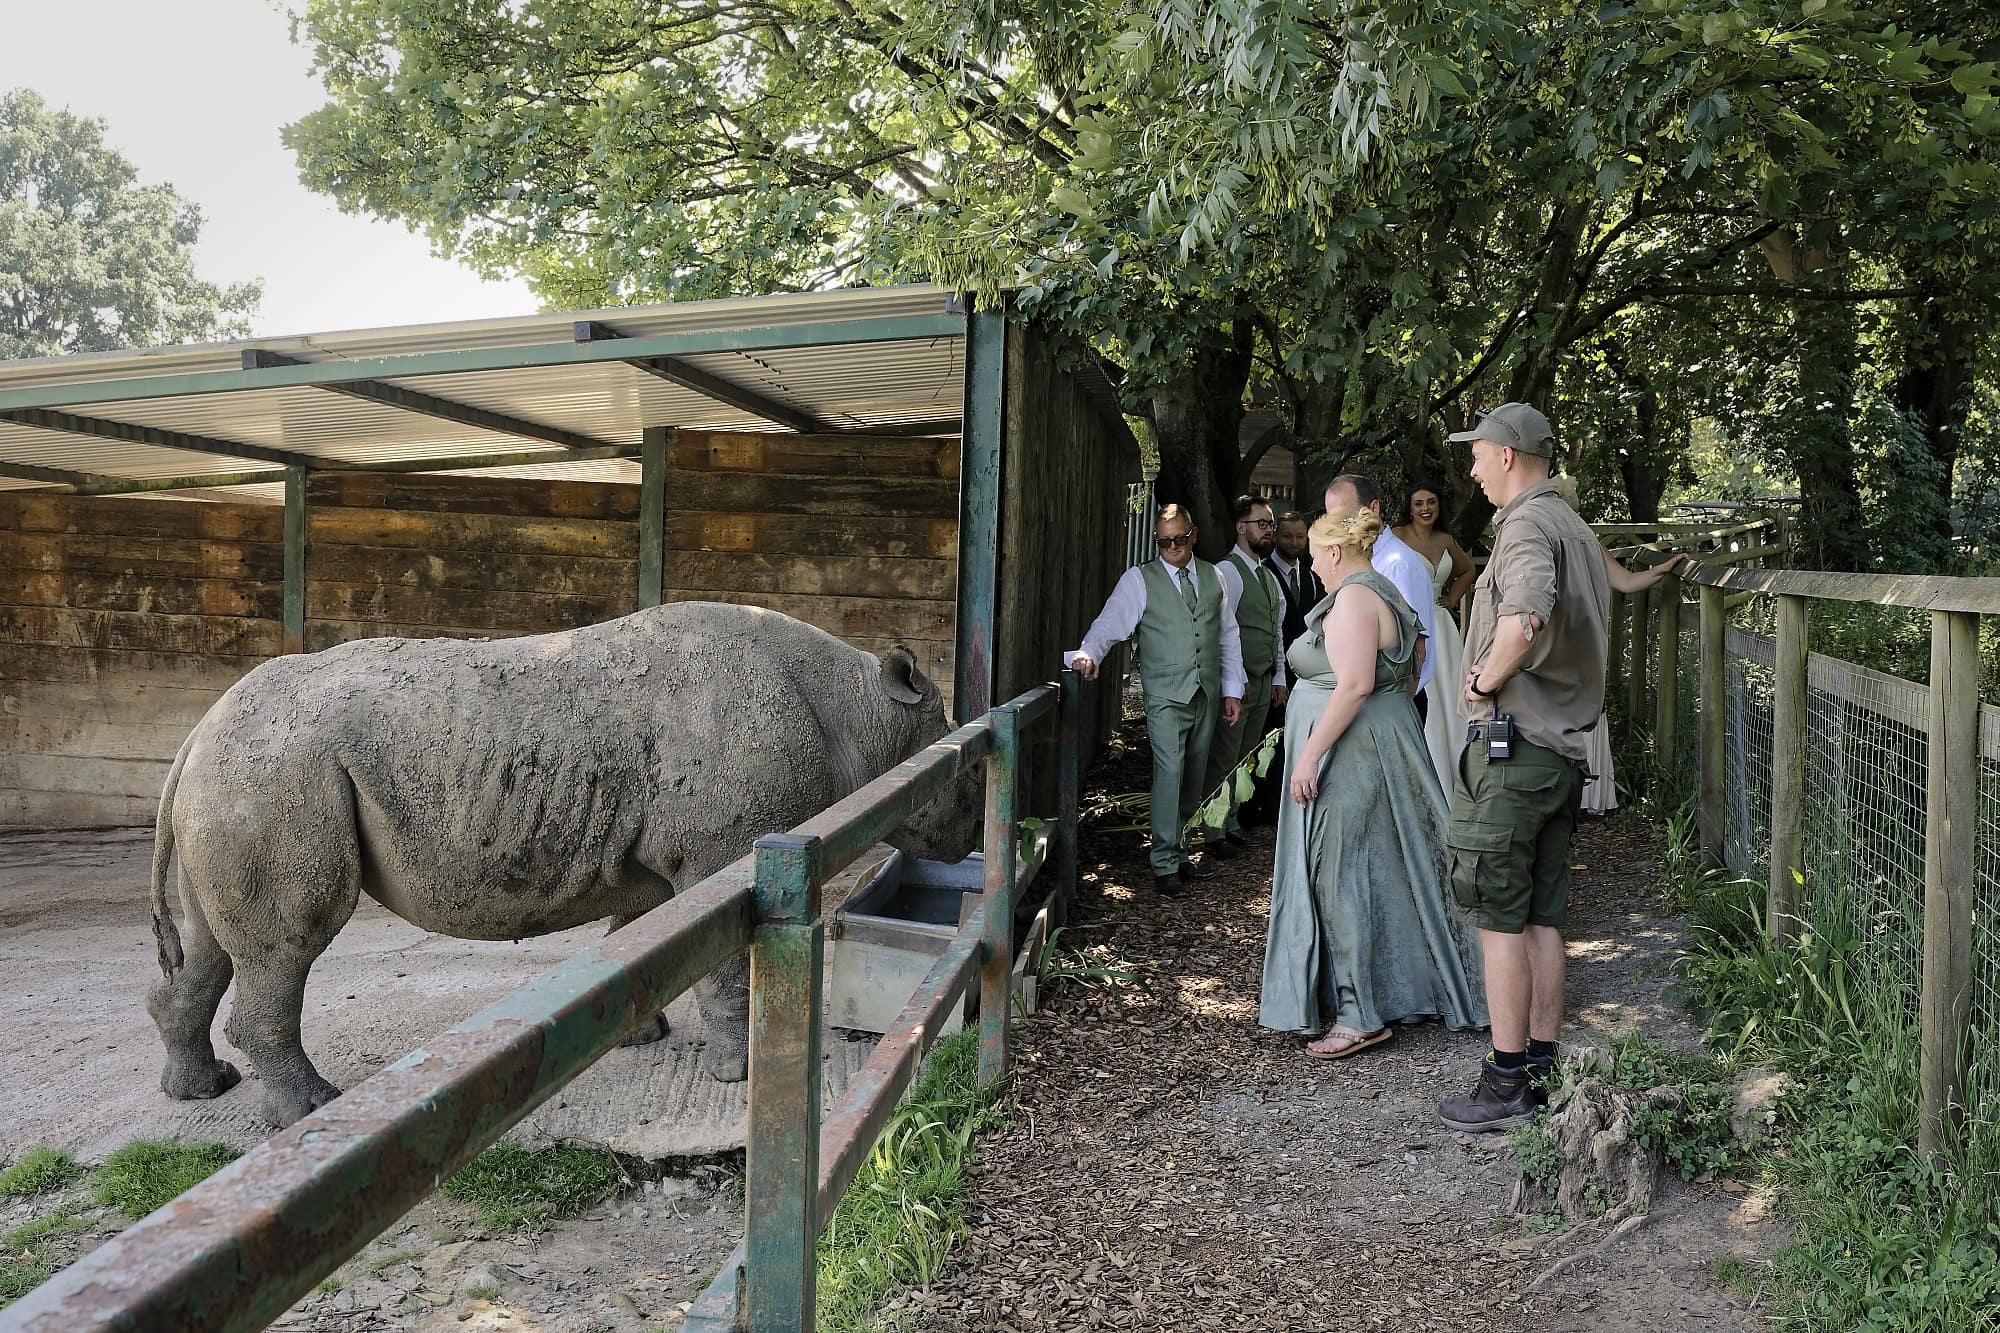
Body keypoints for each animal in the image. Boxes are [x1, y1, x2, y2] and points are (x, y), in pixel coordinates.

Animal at [146, 602, 983, 1128]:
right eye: (965, 780)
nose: (972, 834)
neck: (859, 712)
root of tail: (194, 733)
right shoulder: (719, 849)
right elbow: (722, 967)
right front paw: (734, 1076)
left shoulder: (652, 861)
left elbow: (640, 941)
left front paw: (638, 1034)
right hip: (275, 774)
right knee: (287, 945)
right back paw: (313, 1109)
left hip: (239, 775)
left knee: (215, 946)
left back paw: (201, 1090)